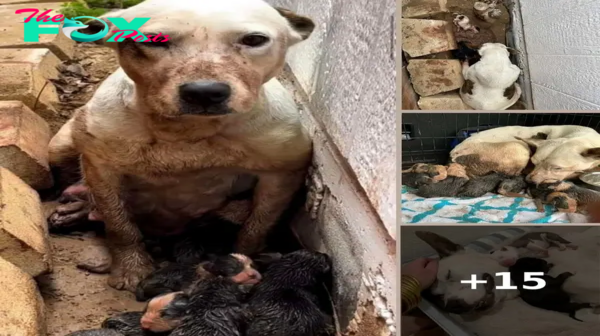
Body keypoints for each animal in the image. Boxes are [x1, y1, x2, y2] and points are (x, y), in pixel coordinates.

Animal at [48, 0, 314, 292]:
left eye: (254, 40)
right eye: (154, 41)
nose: (204, 92)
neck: (188, 132)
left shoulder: (282, 173)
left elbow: (257, 227)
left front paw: (246, 258)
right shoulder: (101, 167)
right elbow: (120, 224)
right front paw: (132, 268)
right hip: (59, 148)